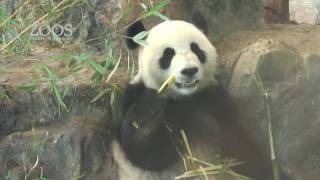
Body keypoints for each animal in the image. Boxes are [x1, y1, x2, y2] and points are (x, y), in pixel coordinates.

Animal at [112, 11, 272, 179]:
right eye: (168, 54)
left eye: (195, 49)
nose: (189, 70)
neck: (184, 98)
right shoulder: (133, 98)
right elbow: (143, 151)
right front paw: (155, 104)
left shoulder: (213, 100)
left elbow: (238, 142)